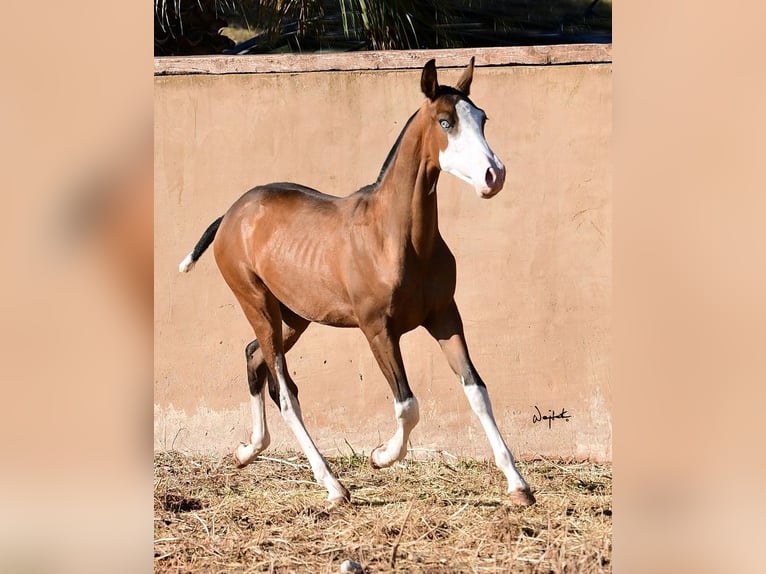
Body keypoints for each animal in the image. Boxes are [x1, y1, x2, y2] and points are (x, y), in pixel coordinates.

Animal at [180, 58, 536, 508]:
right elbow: (407, 404)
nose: (494, 175)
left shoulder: (444, 317)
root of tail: (230, 214)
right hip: (257, 305)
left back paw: (247, 451)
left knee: (253, 358)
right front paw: (380, 456)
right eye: (445, 121)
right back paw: (333, 487)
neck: (399, 239)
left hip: (293, 318)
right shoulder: (377, 328)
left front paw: (519, 486)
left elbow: (477, 391)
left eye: (483, 118)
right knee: (285, 391)